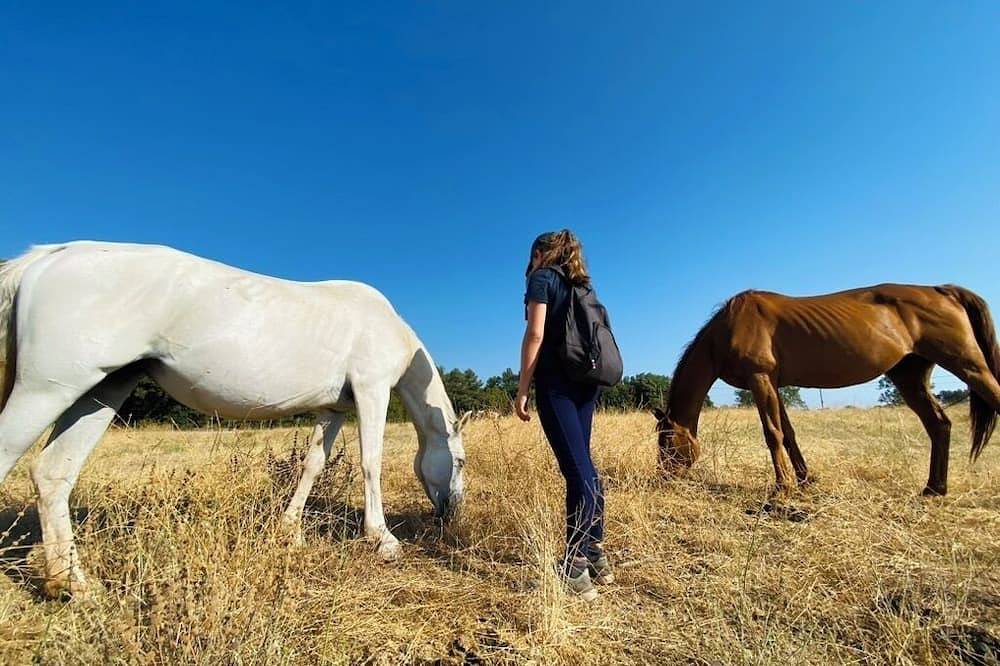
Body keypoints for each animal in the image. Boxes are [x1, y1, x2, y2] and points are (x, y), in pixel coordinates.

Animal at [0, 241, 470, 599]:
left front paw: (290, 531)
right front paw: (382, 538)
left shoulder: (333, 410)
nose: (453, 512)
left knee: (53, 474)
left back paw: (73, 586)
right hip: (47, 389)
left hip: (102, 391)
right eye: (461, 461)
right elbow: (371, 462)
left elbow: (312, 465)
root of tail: (48, 257)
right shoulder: (371, 391)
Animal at [653, 284, 1000, 497]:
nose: (664, 478)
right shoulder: (774, 383)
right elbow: (788, 434)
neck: (728, 329)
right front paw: (805, 479)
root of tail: (943, 290)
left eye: (667, 442)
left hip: (968, 365)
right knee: (938, 425)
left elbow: (772, 433)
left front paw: (782, 488)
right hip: (909, 376)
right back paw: (933, 489)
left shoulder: (760, 378)